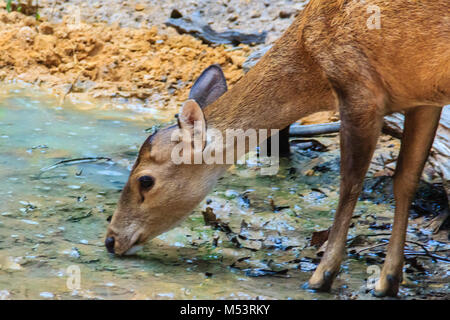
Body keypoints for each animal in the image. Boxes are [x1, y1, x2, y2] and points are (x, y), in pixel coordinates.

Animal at [106, 0, 450, 298]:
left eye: (145, 180)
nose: (111, 240)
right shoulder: (422, 98)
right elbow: (404, 181)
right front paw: (388, 280)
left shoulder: (361, 91)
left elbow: (349, 184)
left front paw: (321, 276)